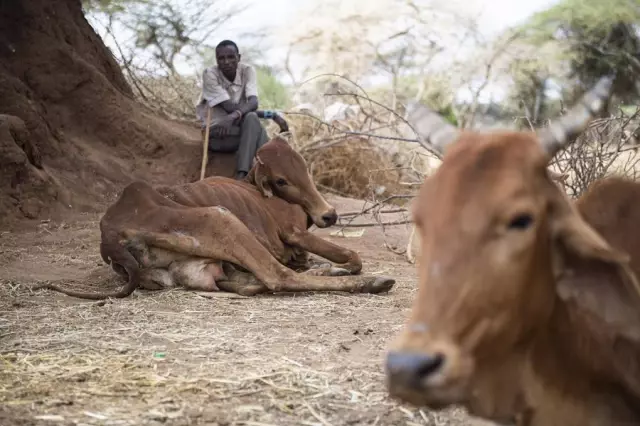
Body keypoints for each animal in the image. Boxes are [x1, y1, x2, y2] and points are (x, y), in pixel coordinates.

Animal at [38, 136, 396, 300]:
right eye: (281, 180)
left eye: (305, 167)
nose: (329, 215)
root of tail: (110, 235)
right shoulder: (294, 232)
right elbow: (352, 256)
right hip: (220, 218)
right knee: (277, 276)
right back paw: (373, 282)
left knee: (252, 282)